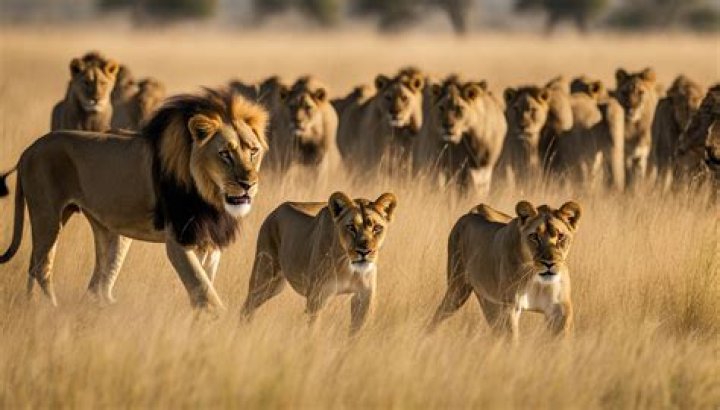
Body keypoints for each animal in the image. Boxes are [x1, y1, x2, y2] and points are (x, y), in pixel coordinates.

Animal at [0, 88, 268, 310]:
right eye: (225, 154)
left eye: (253, 151)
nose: (248, 185)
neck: (211, 196)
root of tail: (28, 150)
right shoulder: (178, 240)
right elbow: (203, 289)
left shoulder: (209, 241)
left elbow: (205, 284)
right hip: (47, 214)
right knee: (41, 267)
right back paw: (52, 309)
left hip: (108, 230)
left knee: (96, 284)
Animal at [241, 192, 397, 335]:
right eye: (351, 227)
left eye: (377, 228)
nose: (364, 251)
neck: (348, 266)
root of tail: (275, 210)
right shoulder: (317, 298)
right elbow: (313, 330)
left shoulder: (364, 297)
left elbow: (356, 333)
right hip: (266, 279)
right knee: (247, 307)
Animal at [427, 200, 581, 342]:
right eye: (534, 236)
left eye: (561, 236)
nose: (549, 263)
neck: (535, 277)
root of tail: (474, 209)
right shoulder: (509, 307)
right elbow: (511, 340)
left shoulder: (560, 309)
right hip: (457, 289)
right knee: (439, 314)